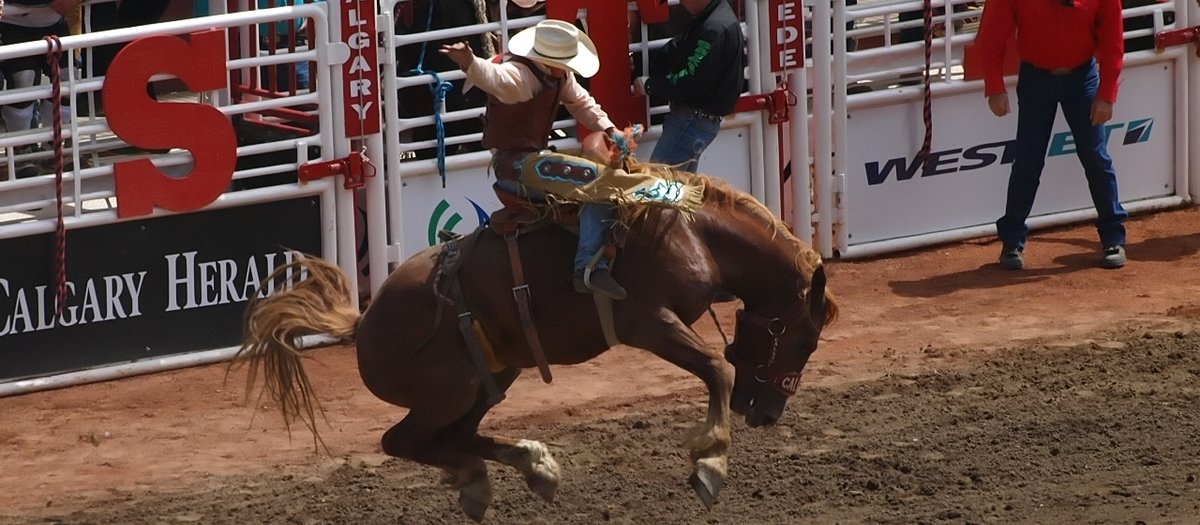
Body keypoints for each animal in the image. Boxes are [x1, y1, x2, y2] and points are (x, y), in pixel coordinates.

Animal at [234, 172, 835, 520]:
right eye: (806, 339)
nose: (769, 412)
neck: (693, 232)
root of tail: (365, 321)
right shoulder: (648, 323)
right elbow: (716, 367)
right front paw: (711, 463)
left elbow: (716, 368)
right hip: (451, 389)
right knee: (402, 440)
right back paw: (490, 477)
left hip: (490, 378)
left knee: (450, 436)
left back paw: (528, 468)